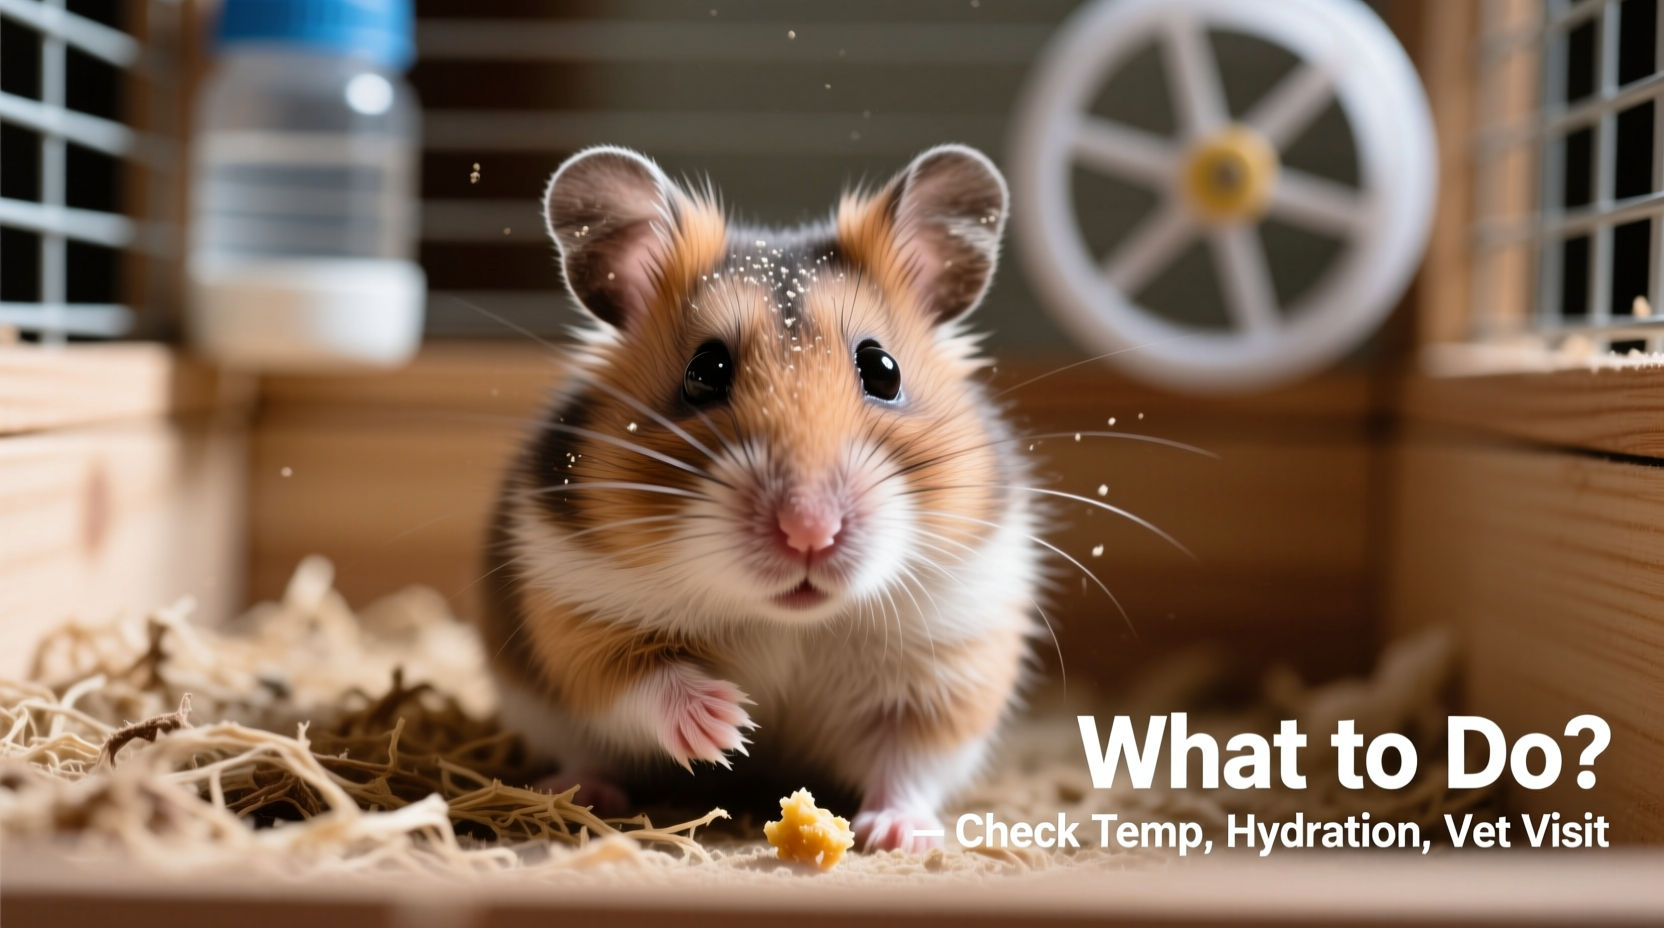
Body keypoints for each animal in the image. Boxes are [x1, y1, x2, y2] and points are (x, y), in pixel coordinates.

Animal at [478, 143, 1043, 852]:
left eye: (883, 370)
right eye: (704, 372)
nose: (808, 530)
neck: (788, 620)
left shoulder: (952, 655)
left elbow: (911, 759)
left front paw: (897, 835)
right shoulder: (579, 609)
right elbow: (634, 682)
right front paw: (730, 725)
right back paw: (579, 792)